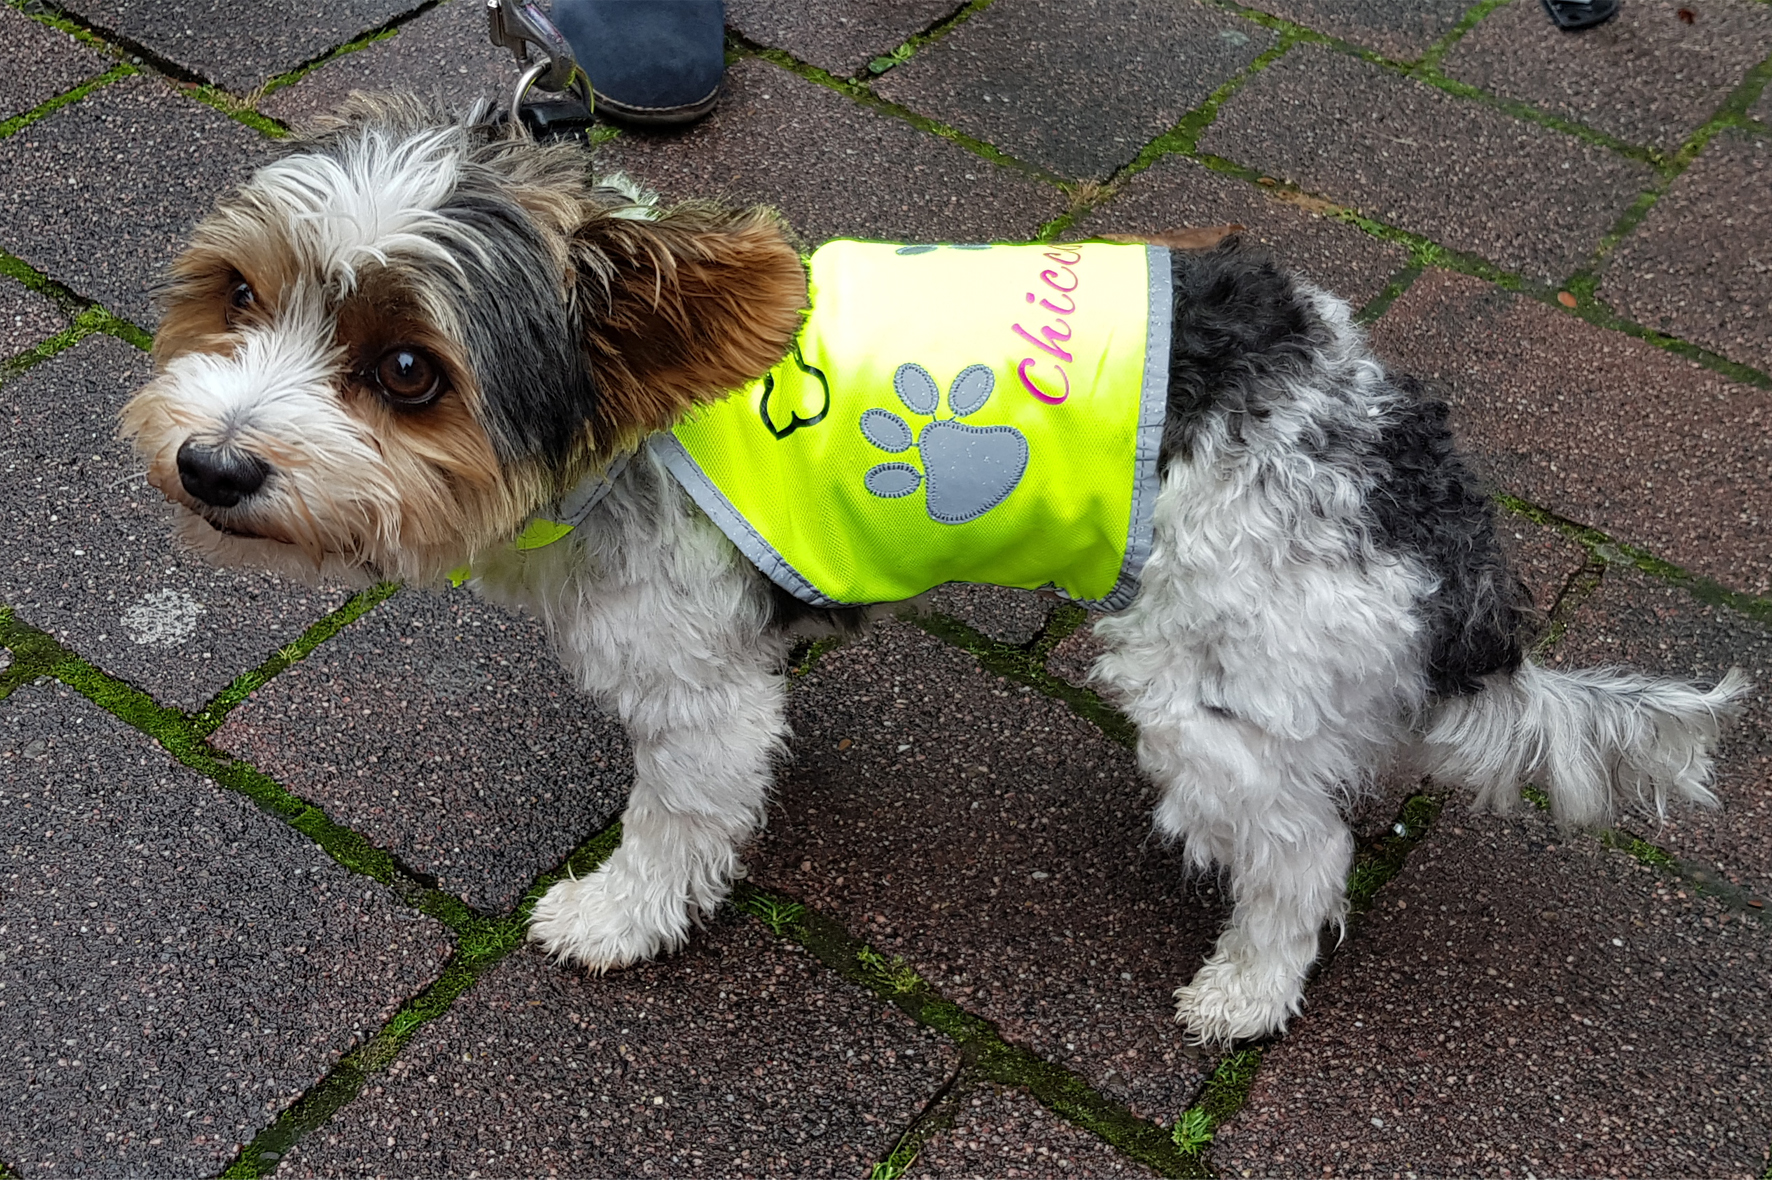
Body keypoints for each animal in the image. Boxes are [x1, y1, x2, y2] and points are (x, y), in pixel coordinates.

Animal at [121, 98, 1743, 1042]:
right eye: (238, 294)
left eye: (408, 371)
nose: (210, 467)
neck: (633, 409)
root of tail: (1425, 492)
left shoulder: (691, 684)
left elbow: (676, 817)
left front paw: (621, 915)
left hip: (1210, 689)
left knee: (1301, 852)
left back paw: (1244, 988)